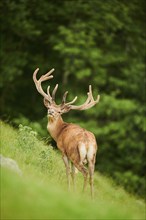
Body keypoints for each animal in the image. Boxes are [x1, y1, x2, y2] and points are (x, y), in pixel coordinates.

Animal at [32, 68, 100, 199]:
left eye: (59, 111)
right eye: (49, 106)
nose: (50, 112)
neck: (59, 132)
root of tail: (87, 143)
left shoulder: (63, 150)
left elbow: (68, 171)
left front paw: (69, 190)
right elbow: (74, 173)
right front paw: (73, 191)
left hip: (75, 155)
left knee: (84, 173)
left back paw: (83, 194)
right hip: (92, 158)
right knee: (92, 176)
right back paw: (92, 198)